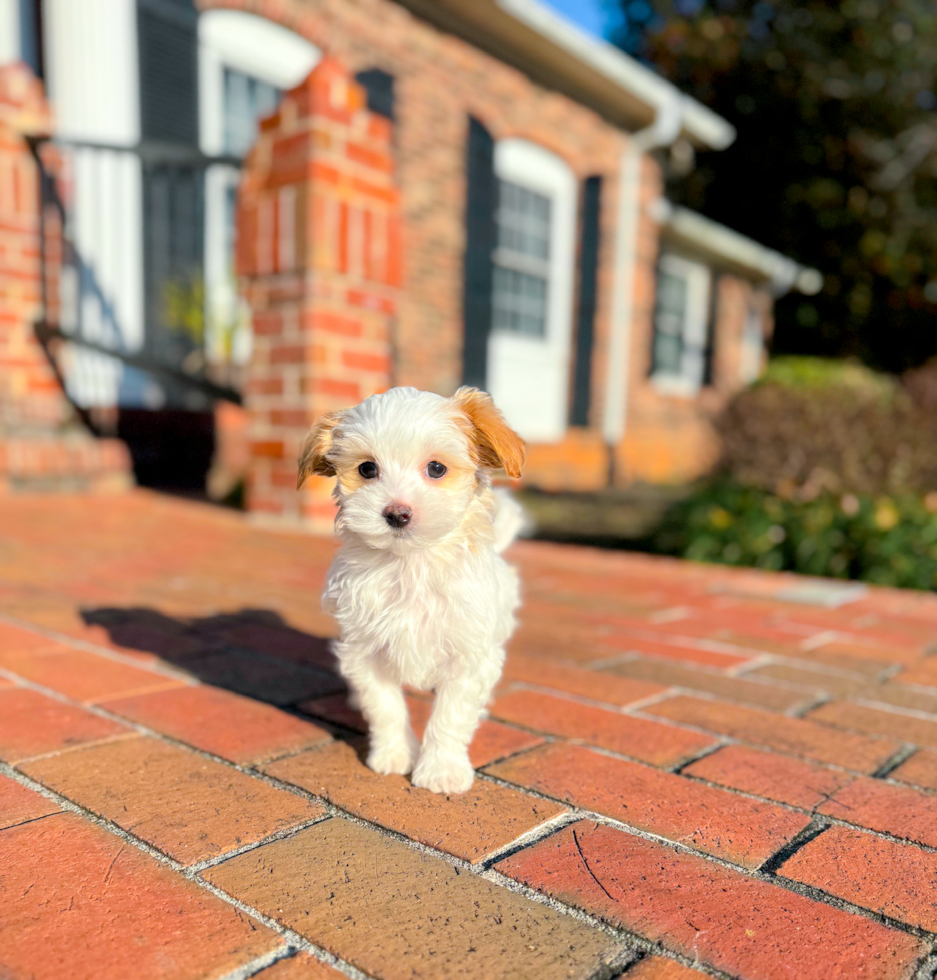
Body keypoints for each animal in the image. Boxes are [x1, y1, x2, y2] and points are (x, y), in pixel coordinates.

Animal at [296, 384, 524, 796]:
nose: (397, 514)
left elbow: (451, 715)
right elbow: (385, 706)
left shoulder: (468, 655)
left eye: (436, 468)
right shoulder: (364, 650)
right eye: (367, 469)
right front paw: (394, 755)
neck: (410, 566)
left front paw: (441, 770)